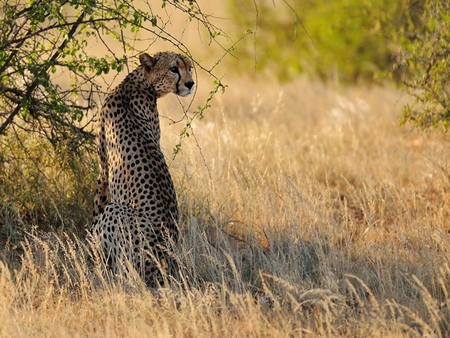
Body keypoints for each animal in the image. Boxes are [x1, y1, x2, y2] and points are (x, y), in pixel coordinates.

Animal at [92, 51, 195, 286]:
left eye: (189, 68)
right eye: (174, 68)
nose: (190, 84)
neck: (139, 83)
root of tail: (164, 269)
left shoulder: (103, 165)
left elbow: (96, 206)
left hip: (116, 211)